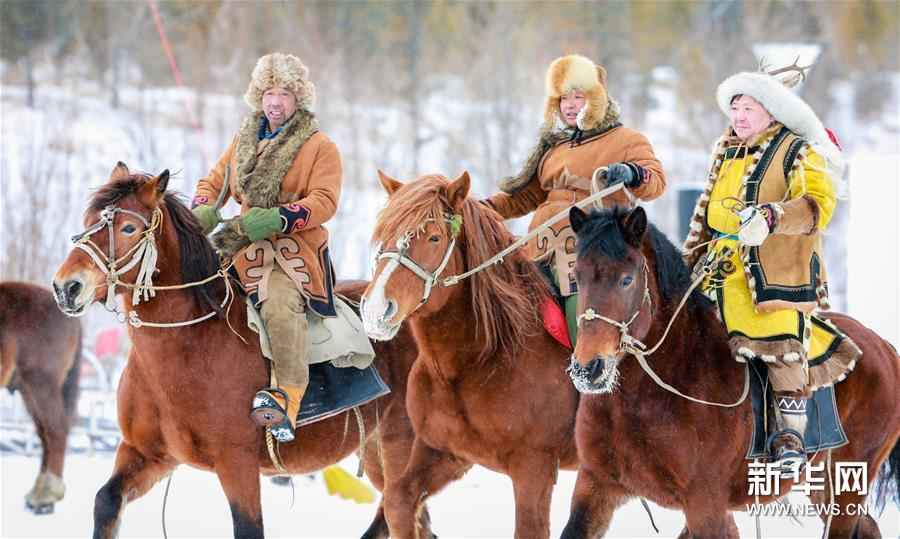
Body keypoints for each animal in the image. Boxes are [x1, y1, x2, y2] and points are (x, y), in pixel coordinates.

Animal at [51, 166, 432, 539]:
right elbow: (106, 501)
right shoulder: (148, 454)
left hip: (399, 448)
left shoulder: (237, 463)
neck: (190, 346)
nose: (67, 287)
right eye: (88, 221)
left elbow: (248, 527)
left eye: (128, 228)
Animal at [358, 173, 576, 539]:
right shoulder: (445, 452)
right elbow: (398, 501)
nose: (376, 309)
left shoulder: (535, 468)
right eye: (384, 234)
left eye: (433, 237)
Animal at [564, 205, 900, 536]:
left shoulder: (705, 504)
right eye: (577, 277)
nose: (588, 368)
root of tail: (883, 347)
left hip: (846, 482)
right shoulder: (595, 485)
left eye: (626, 279)